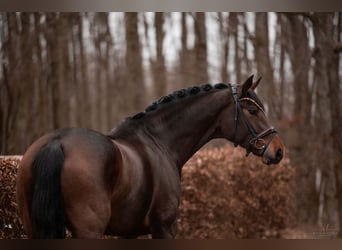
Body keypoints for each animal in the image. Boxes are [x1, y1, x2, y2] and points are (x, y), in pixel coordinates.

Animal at [15, 75, 284, 238]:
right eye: (252, 110)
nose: (278, 150)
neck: (160, 142)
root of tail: (56, 143)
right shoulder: (164, 226)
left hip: (33, 228)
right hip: (89, 230)